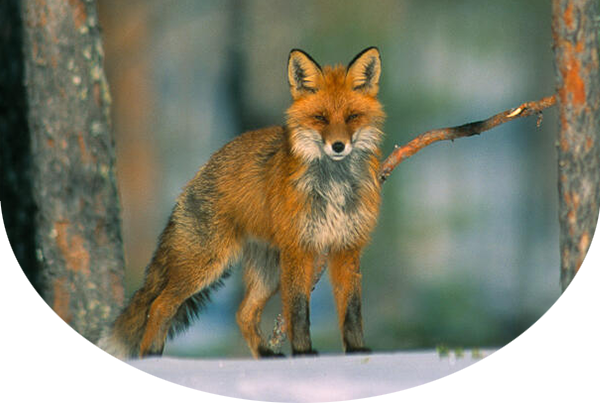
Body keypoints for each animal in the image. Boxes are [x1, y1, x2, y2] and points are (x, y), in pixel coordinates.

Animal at [98, 46, 384, 360]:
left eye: (352, 116)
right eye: (320, 117)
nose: (338, 146)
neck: (334, 185)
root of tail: (201, 170)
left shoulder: (347, 246)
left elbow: (352, 311)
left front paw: (357, 351)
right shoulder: (299, 249)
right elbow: (298, 311)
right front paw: (304, 354)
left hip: (268, 273)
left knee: (243, 314)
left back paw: (266, 355)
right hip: (208, 263)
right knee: (159, 305)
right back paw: (151, 357)